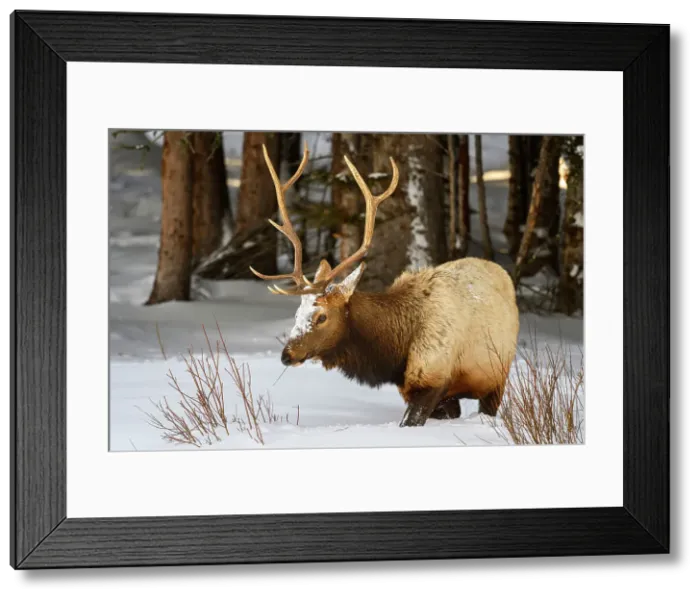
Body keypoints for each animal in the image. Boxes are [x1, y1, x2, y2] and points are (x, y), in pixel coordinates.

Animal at [249, 141, 520, 427]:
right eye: (297, 314)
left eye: (321, 317)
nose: (286, 354)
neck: (394, 354)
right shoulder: (419, 390)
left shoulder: (432, 379)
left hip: (496, 378)